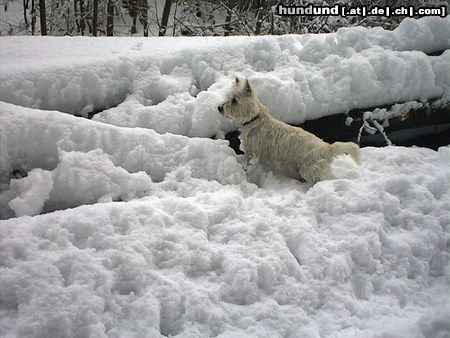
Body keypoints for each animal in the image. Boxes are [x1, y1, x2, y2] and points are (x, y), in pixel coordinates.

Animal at [216, 77, 360, 182]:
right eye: (228, 96)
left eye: (235, 100)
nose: (219, 108)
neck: (253, 119)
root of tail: (327, 148)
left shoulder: (253, 151)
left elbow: (248, 161)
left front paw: (244, 169)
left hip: (309, 169)